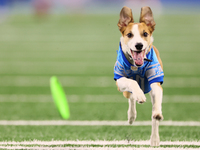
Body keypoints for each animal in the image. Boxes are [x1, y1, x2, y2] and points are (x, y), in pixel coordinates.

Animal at [114, 6, 164, 146]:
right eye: (129, 34)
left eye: (145, 34)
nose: (139, 45)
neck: (137, 66)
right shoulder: (119, 80)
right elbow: (132, 82)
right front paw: (140, 95)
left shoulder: (156, 78)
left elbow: (157, 101)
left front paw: (157, 113)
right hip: (124, 90)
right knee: (130, 97)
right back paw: (131, 115)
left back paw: (154, 139)